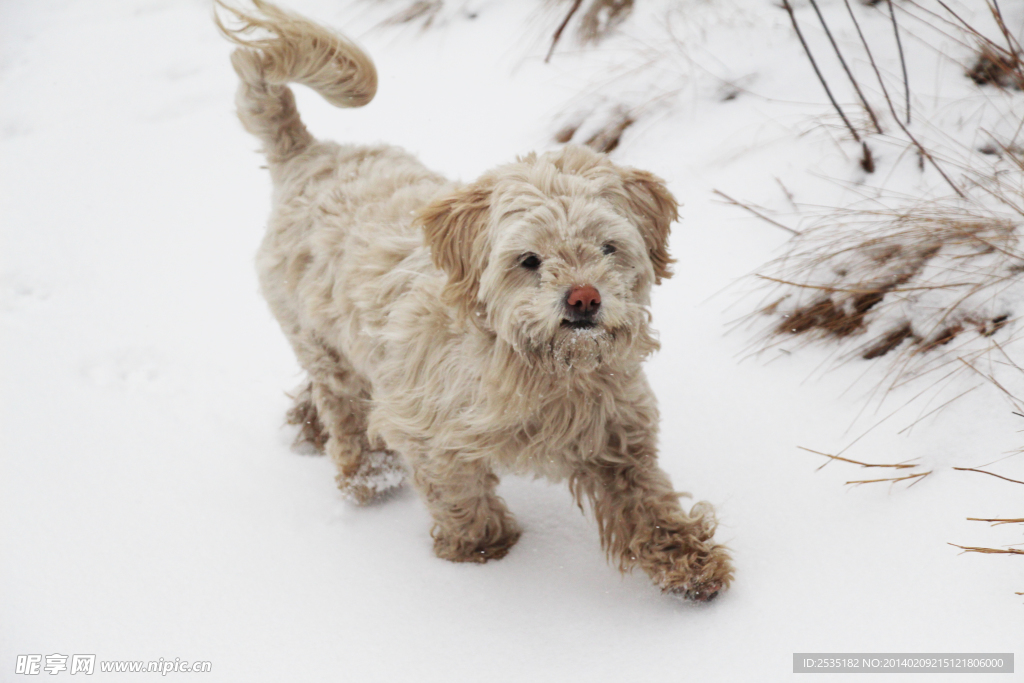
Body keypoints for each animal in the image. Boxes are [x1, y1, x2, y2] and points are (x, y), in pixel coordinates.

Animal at [216, 0, 733, 602]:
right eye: (530, 260)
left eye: (609, 247)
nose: (584, 299)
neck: (542, 370)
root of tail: (311, 153)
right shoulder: (426, 425)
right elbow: (456, 488)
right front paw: (481, 547)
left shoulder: (617, 430)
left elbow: (645, 499)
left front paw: (688, 561)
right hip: (320, 340)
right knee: (342, 402)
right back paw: (366, 471)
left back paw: (305, 426)